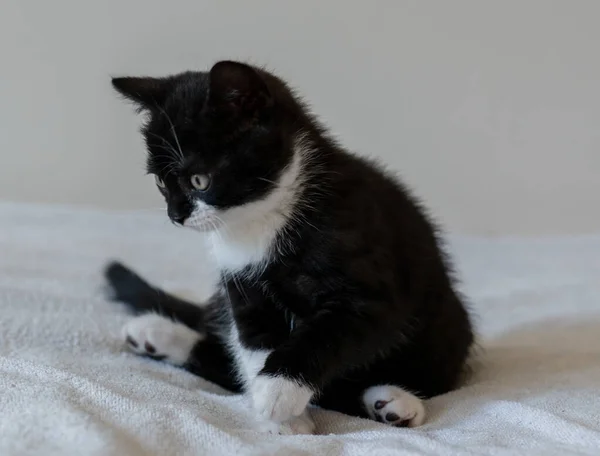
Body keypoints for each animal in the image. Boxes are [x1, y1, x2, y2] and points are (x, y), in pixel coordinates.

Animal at [105, 60, 476, 434]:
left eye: (199, 180)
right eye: (160, 183)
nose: (175, 216)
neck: (261, 220)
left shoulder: (372, 286)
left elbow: (326, 334)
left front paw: (277, 393)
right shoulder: (244, 289)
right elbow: (256, 342)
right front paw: (283, 417)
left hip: (444, 333)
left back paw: (393, 403)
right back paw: (153, 334)